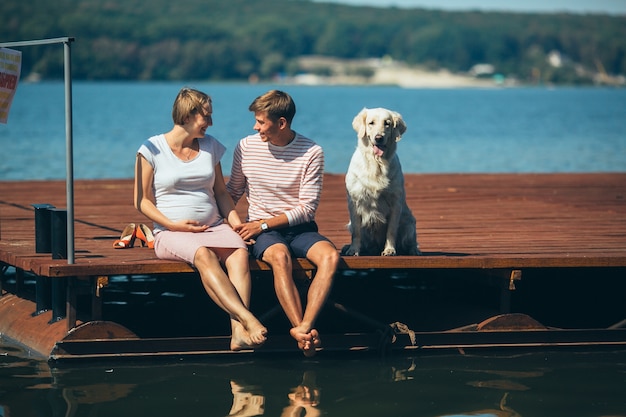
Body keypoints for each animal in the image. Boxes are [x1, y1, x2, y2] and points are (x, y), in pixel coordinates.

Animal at [342, 106, 420, 256]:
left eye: (387, 123)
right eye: (371, 123)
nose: (379, 138)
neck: (377, 163)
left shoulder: (396, 203)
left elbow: (391, 230)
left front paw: (389, 249)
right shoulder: (354, 201)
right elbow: (356, 232)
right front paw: (353, 250)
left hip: (409, 223)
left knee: (412, 240)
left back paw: (414, 250)